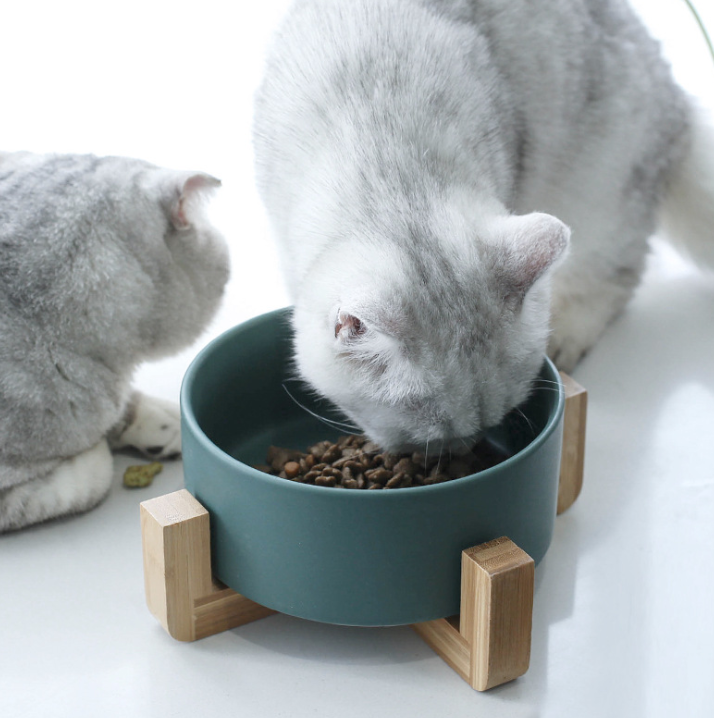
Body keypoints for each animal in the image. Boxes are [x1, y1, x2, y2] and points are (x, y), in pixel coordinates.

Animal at [253, 0, 712, 450]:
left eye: (494, 421)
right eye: (429, 436)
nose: (466, 448)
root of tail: (677, 100)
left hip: (602, 193)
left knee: (617, 276)